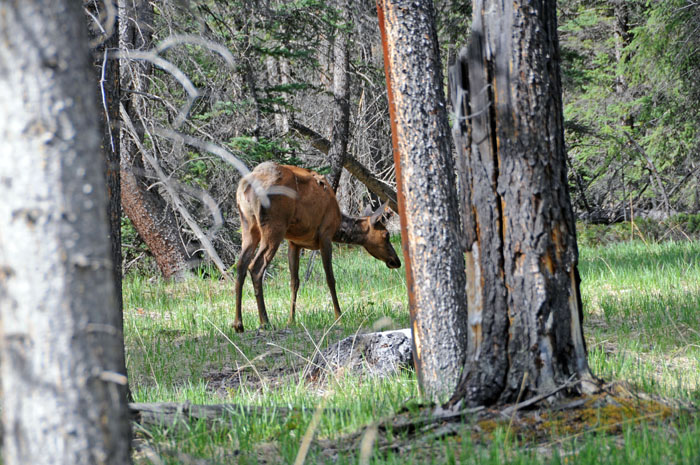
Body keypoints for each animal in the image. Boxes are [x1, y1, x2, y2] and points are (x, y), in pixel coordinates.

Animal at [234, 161, 402, 332]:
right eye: (386, 234)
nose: (396, 261)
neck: (338, 226)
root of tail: (245, 186)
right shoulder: (325, 235)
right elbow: (330, 278)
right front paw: (339, 316)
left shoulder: (294, 243)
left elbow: (294, 282)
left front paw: (291, 320)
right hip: (274, 227)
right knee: (256, 267)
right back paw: (265, 321)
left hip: (248, 226)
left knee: (241, 265)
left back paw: (238, 324)